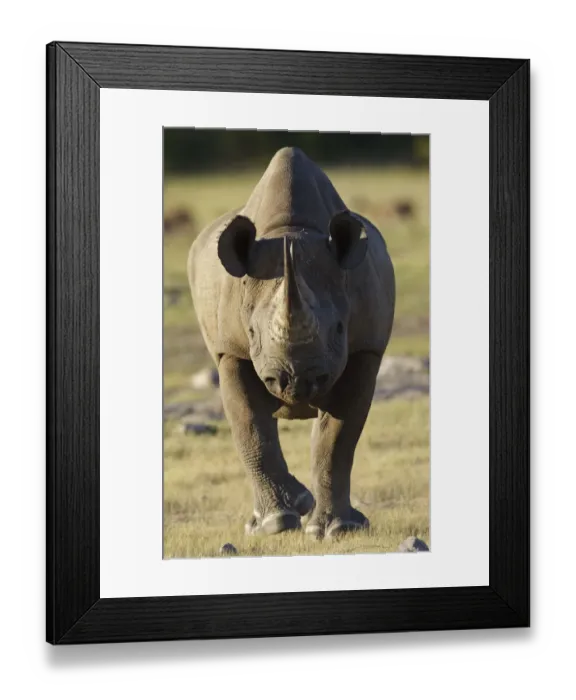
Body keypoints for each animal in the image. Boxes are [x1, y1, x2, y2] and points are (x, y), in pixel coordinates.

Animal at [187, 147, 395, 539]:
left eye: (340, 330)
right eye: (252, 334)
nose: (295, 381)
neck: (290, 231)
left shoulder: (366, 348)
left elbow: (336, 440)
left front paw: (337, 529)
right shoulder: (230, 350)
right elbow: (250, 425)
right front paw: (281, 519)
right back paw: (257, 524)